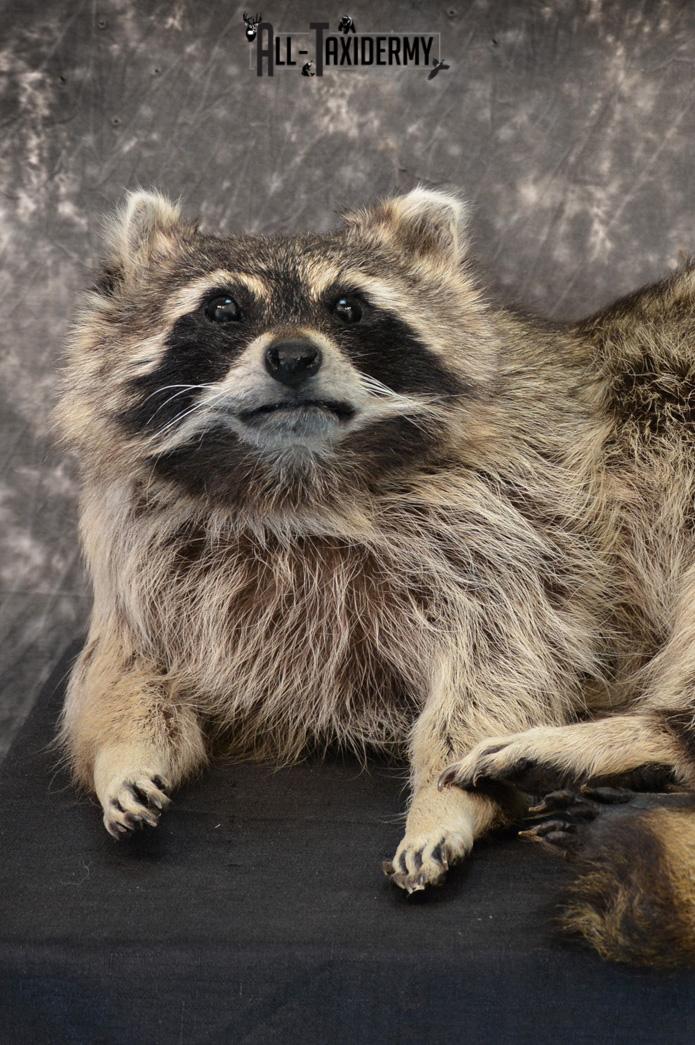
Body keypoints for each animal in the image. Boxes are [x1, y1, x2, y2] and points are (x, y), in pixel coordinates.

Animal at [56, 187, 695, 966]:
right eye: (223, 308)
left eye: (348, 307)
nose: (292, 355)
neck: (294, 484)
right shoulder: (146, 564)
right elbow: (124, 671)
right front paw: (123, 753)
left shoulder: (526, 526)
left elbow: (504, 663)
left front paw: (442, 802)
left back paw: (629, 737)